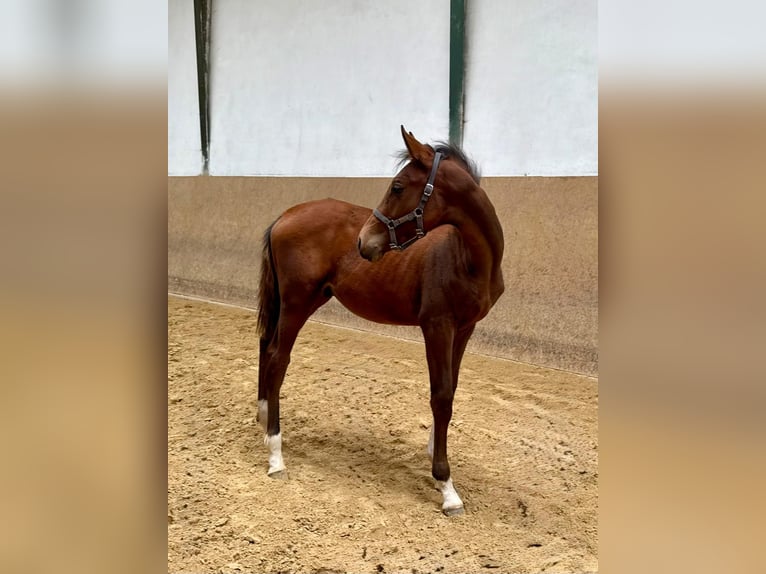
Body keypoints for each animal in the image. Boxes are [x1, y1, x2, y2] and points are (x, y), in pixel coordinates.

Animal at [256, 126, 504, 515]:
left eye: (398, 186)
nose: (364, 242)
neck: (466, 258)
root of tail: (286, 215)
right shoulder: (437, 326)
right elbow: (440, 396)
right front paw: (446, 485)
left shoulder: (464, 328)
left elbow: (451, 389)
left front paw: (434, 452)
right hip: (298, 302)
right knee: (278, 358)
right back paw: (276, 455)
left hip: (293, 301)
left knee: (266, 348)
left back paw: (264, 418)